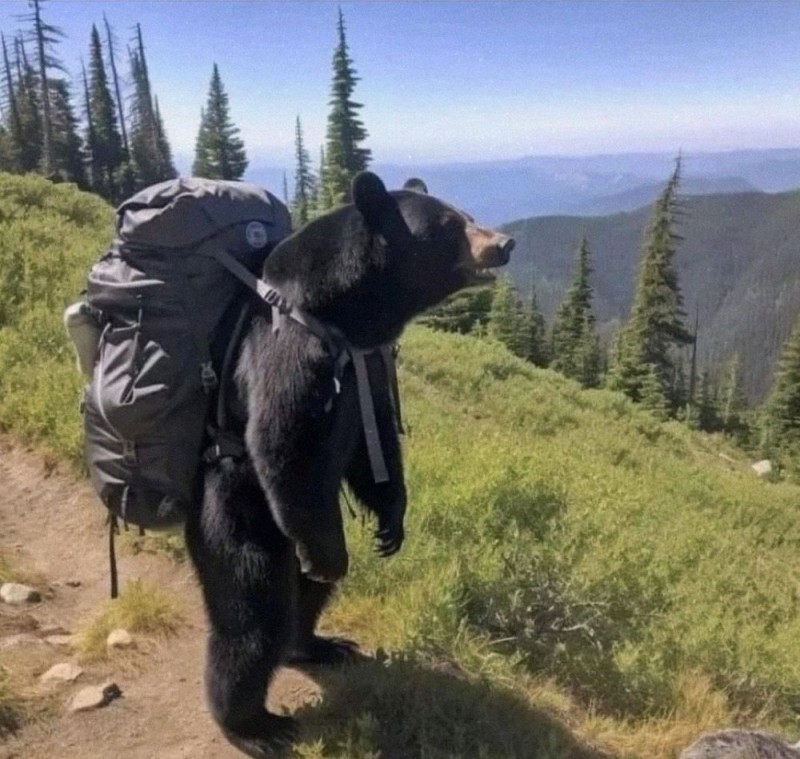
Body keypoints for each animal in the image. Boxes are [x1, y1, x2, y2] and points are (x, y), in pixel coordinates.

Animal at [185, 174, 516, 759]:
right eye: (449, 225)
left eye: (467, 213)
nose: (503, 243)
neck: (345, 315)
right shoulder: (287, 345)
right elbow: (282, 439)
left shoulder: (372, 362)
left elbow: (374, 436)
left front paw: (392, 523)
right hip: (237, 510)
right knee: (252, 614)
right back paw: (252, 723)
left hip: (312, 521)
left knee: (306, 594)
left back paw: (317, 644)